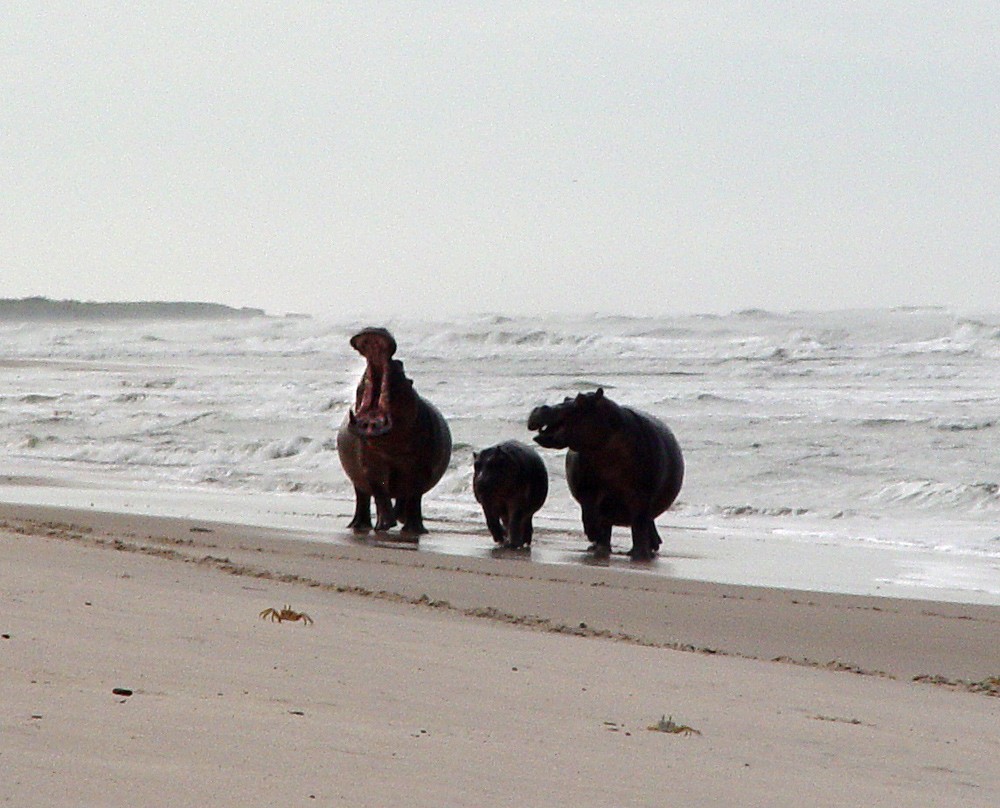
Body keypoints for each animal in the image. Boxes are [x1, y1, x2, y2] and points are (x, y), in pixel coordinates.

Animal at [338, 328, 452, 536]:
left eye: (400, 365)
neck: (391, 449)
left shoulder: (419, 469)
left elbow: (414, 497)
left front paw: (414, 529)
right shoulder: (370, 468)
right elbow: (380, 493)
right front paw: (384, 524)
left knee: (404, 498)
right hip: (357, 480)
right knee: (363, 499)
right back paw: (359, 525)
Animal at [528, 388, 684, 560]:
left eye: (581, 399)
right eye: (566, 397)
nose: (541, 408)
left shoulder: (642, 496)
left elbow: (639, 524)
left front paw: (640, 556)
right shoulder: (588, 490)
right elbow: (590, 514)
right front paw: (593, 535)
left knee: (643, 524)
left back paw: (645, 550)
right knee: (606, 524)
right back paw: (599, 549)